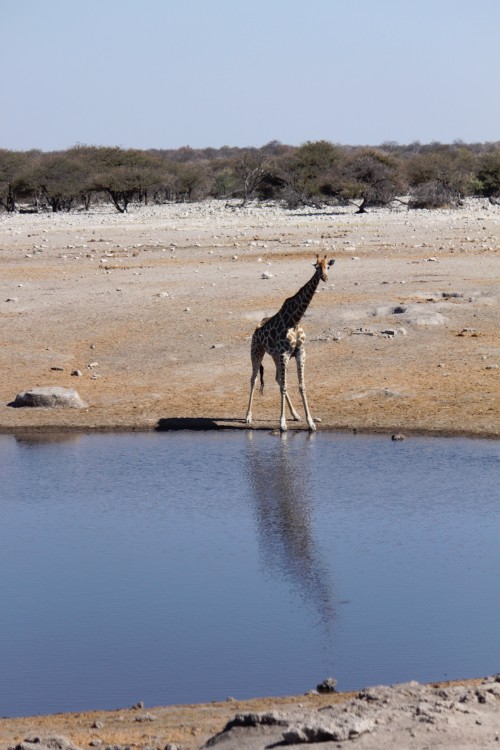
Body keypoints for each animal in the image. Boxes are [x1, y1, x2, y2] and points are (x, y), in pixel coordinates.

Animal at [244, 258, 334, 434]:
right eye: (317, 267)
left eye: (328, 266)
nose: (325, 277)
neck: (295, 320)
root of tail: (256, 330)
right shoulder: (284, 354)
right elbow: (284, 387)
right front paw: (282, 424)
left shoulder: (300, 353)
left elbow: (301, 386)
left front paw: (310, 422)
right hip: (256, 351)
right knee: (254, 379)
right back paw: (248, 416)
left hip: (274, 356)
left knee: (277, 378)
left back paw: (296, 414)